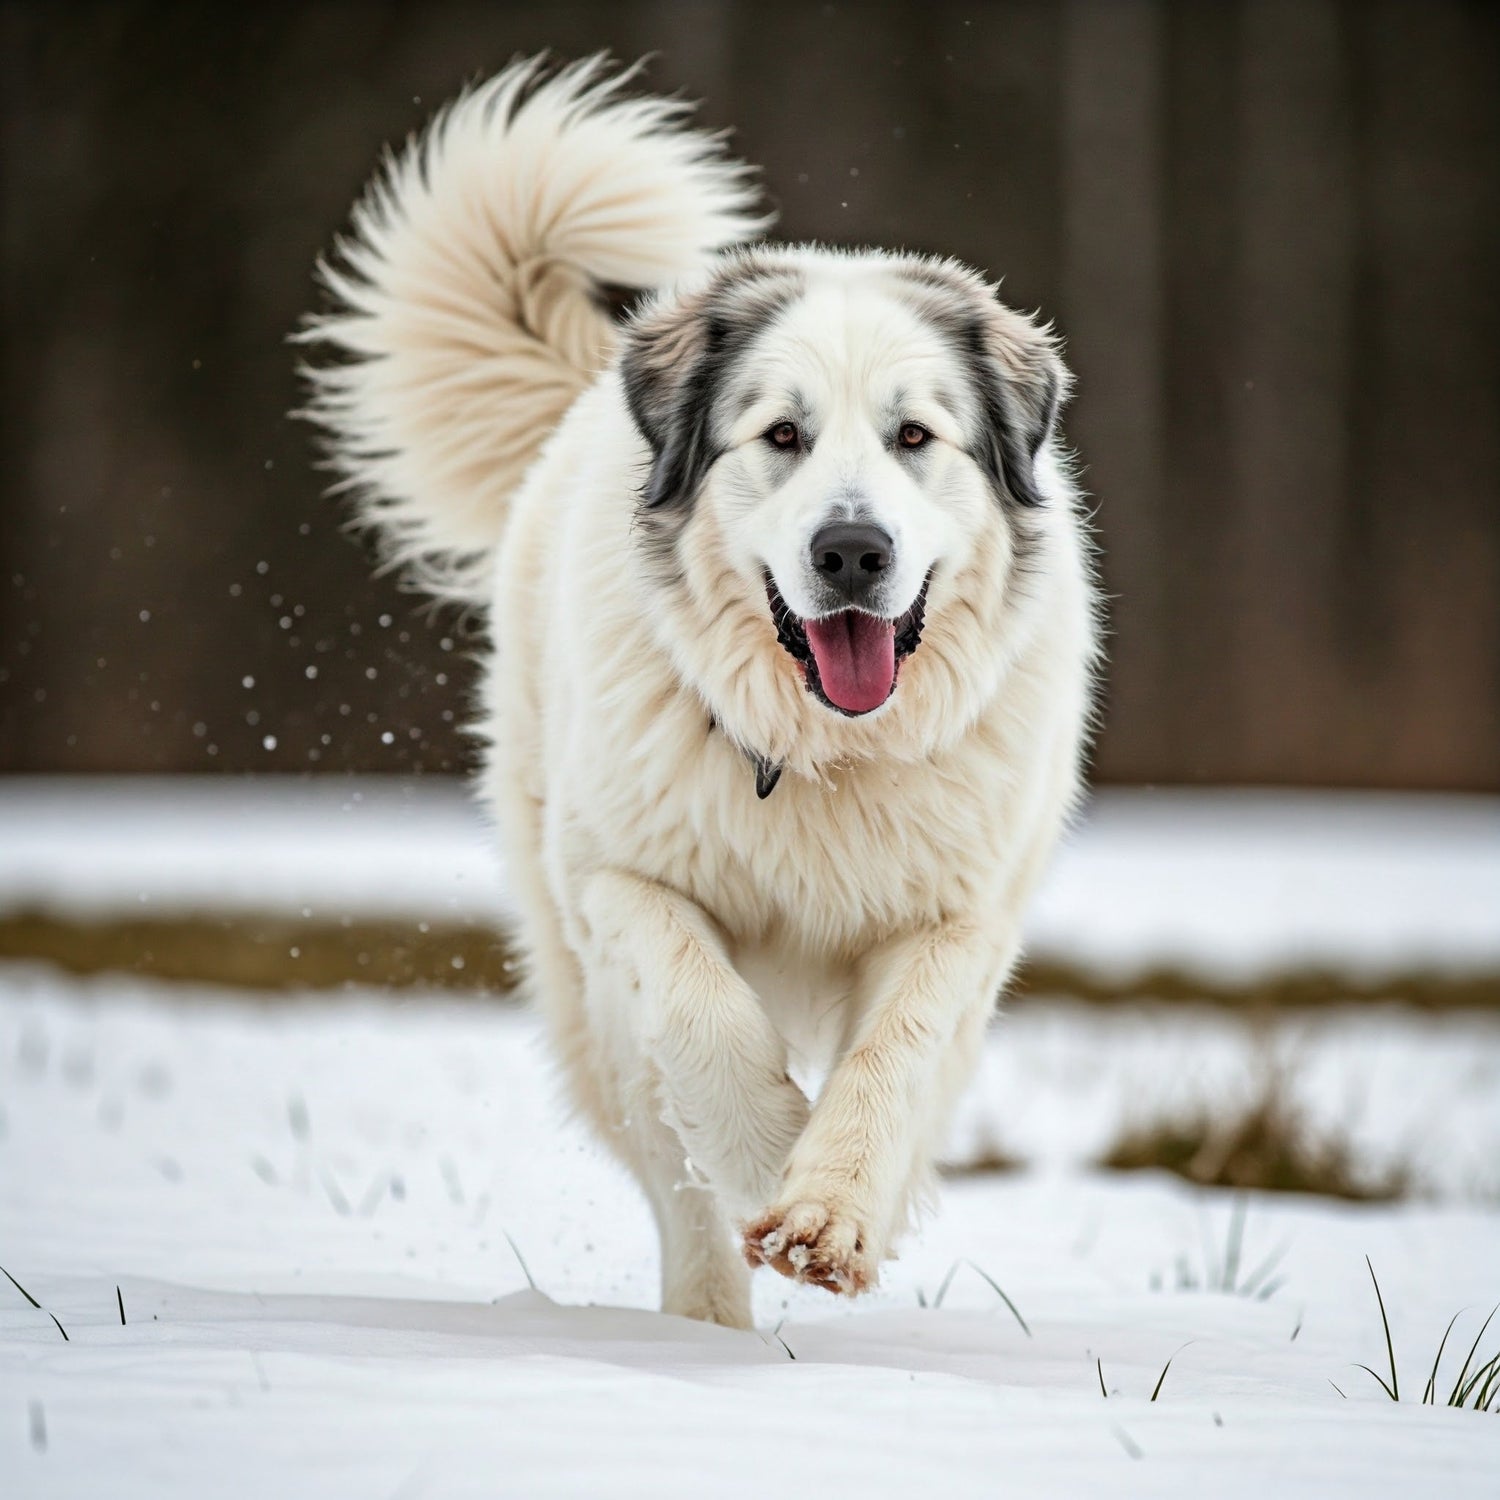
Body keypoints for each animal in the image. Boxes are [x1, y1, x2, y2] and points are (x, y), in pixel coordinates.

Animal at [304, 55, 1104, 1326]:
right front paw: (771, 1159)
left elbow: (895, 1053)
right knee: (664, 1154)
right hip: (583, 994)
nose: (852, 552)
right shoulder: (619, 880)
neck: (823, 754)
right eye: (780, 436)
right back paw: (707, 1328)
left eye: (913, 437)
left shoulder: (956, 919)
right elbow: (702, 1015)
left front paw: (831, 1211)